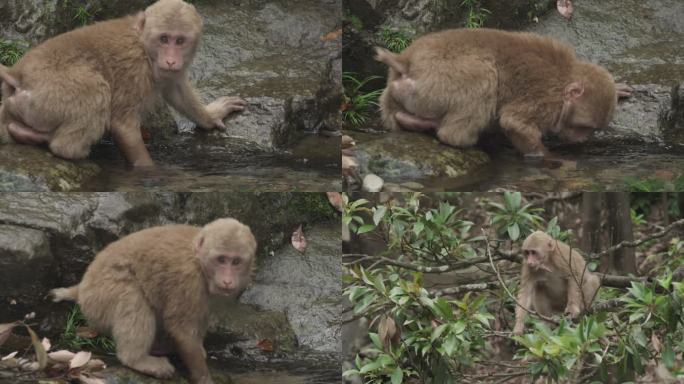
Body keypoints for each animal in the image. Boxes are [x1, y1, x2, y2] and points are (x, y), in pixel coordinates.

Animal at [0, 0, 246, 168]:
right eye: (164, 39)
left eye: (180, 40)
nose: (171, 60)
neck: (144, 45)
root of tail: (17, 74)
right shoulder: (134, 68)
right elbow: (123, 125)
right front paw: (151, 172)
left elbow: (176, 90)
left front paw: (211, 115)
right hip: (50, 95)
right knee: (96, 90)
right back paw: (59, 145)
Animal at [48, 219, 256, 384]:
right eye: (221, 259)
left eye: (236, 262)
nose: (227, 280)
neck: (199, 259)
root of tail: (82, 286)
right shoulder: (188, 279)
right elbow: (181, 328)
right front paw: (202, 376)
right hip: (99, 297)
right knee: (132, 299)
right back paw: (136, 359)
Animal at [376, 28, 632, 158]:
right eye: (582, 128)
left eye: (590, 130)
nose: (582, 139)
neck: (565, 76)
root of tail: (406, 59)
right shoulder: (546, 102)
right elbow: (513, 122)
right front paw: (549, 158)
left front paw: (618, 88)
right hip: (437, 82)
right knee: (484, 76)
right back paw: (456, 135)